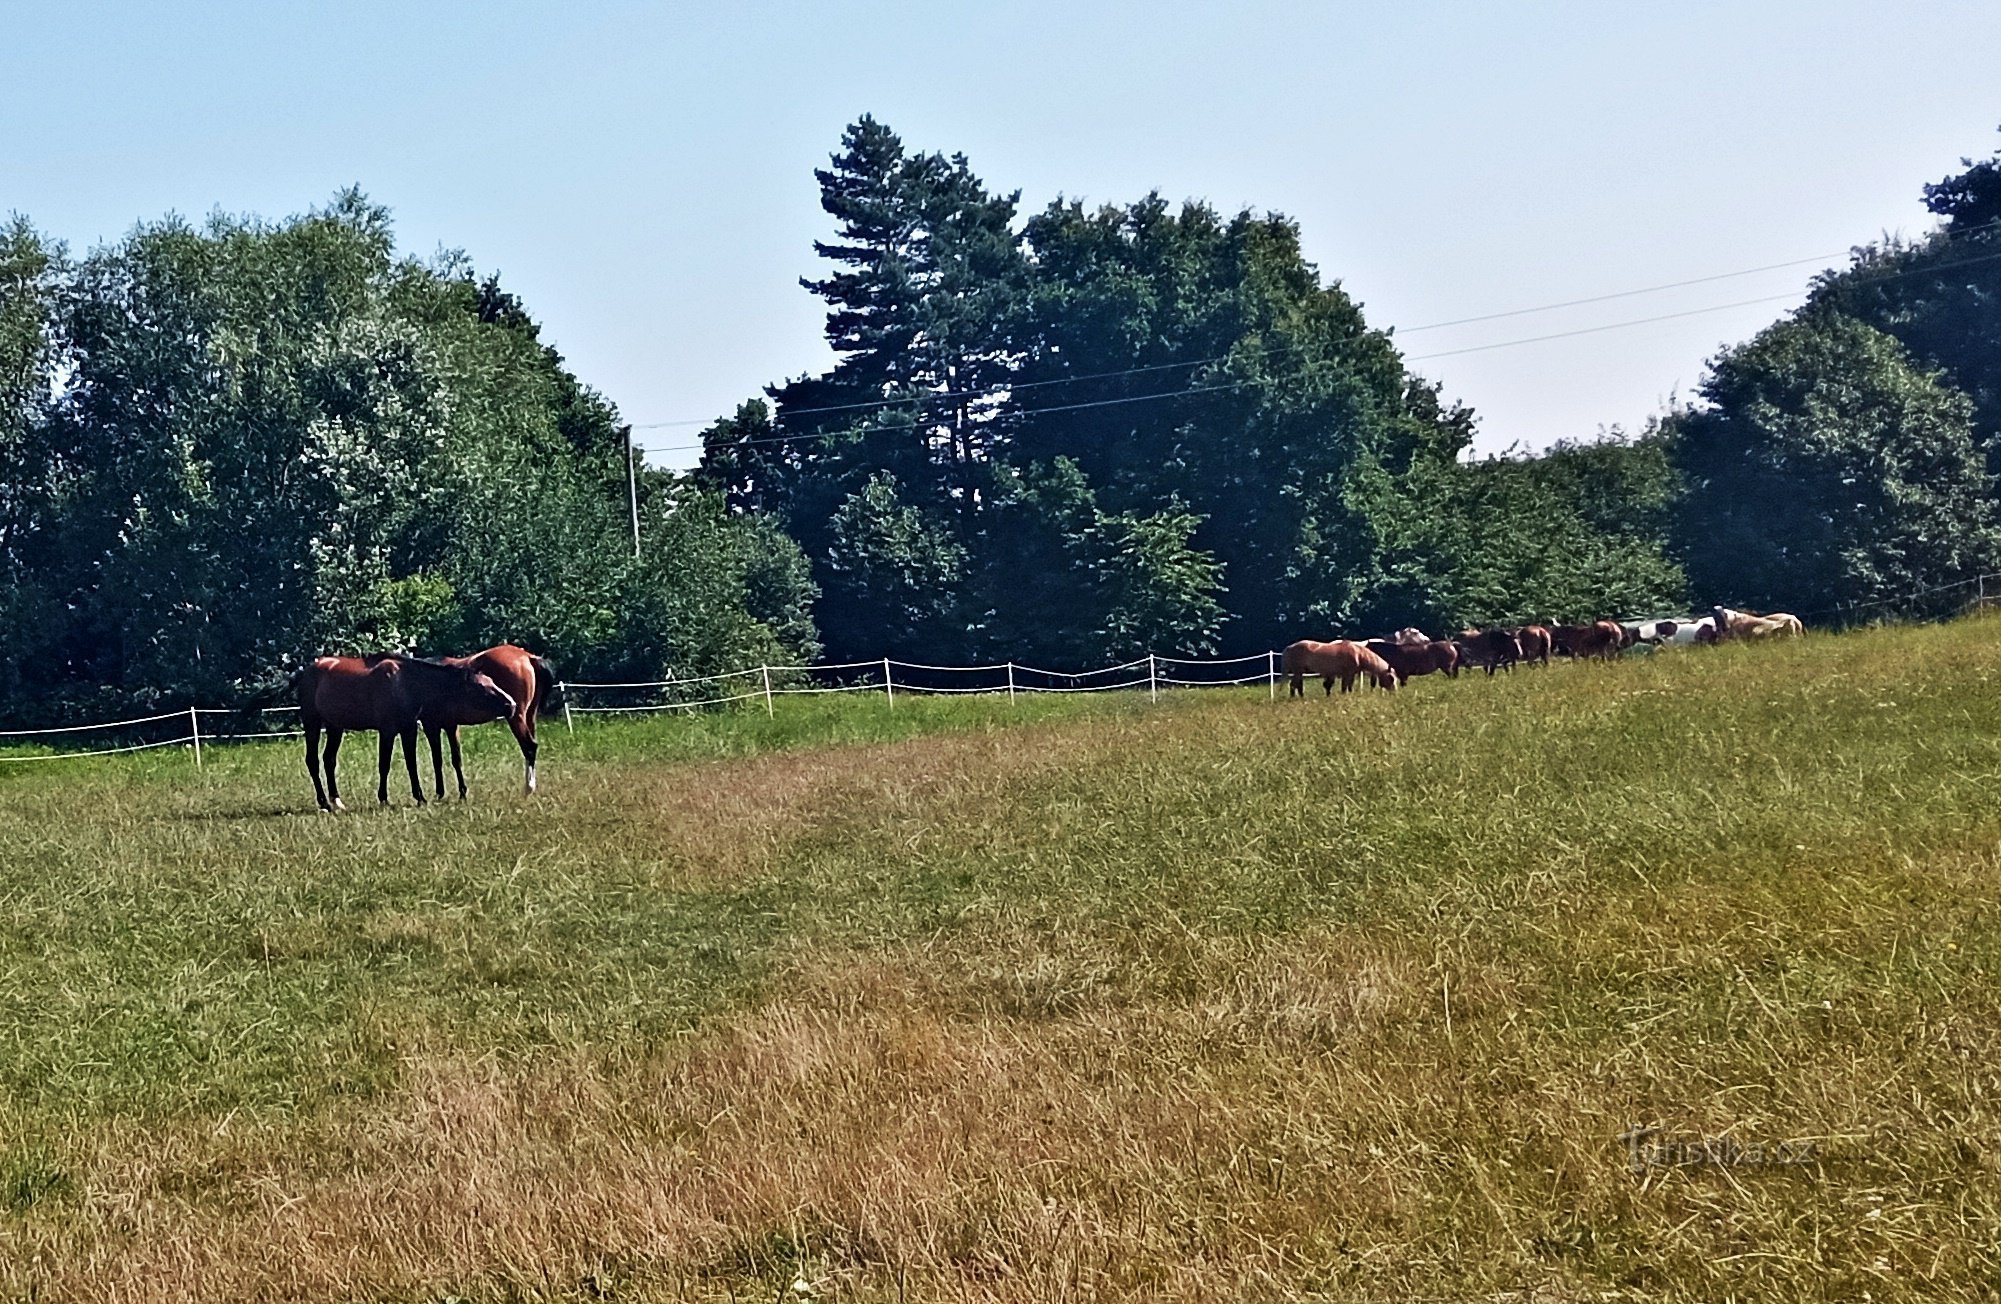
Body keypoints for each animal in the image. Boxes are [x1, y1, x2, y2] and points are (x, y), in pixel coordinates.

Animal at [296, 656, 520, 808]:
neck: (405, 684)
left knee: (329, 760)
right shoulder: (387, 730)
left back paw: (337, 801)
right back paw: (324, 803)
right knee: (312, 760)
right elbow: (384, 765)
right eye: (480, 686)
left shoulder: (408, 728)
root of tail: (307, 671)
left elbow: (412, 763)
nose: (511, 705)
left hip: (335, 727)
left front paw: (420, 797)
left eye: (492, 681)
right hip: (312, 723)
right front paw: (384, 799)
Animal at [412, 648, 560, 800]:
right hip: (530, 716)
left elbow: (437, 760)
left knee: (529, 747)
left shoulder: (432, 726)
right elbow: (455, 759)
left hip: (516, 718)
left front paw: (440, 794)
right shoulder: (451, 726)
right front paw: (461, 793)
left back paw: (528, 789)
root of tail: (529, 657)